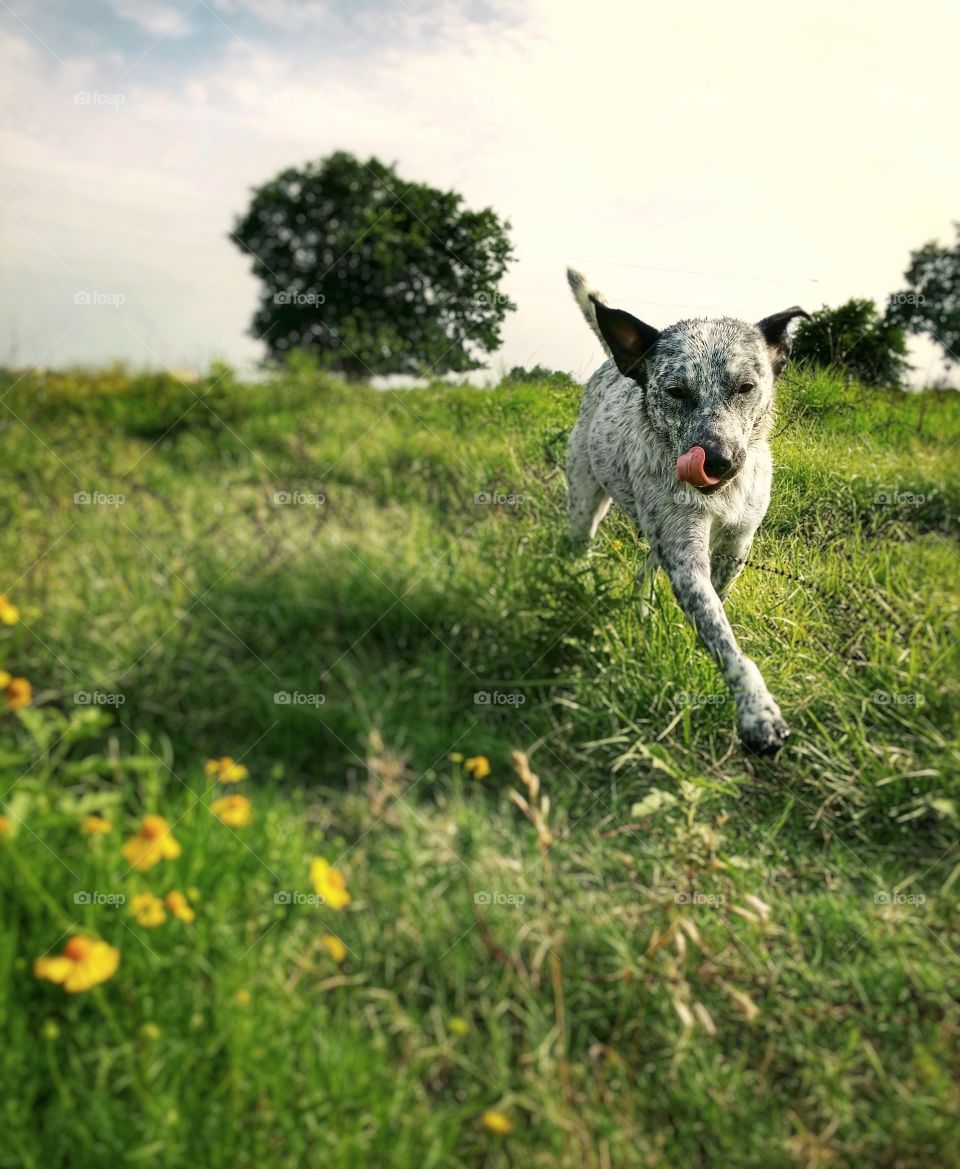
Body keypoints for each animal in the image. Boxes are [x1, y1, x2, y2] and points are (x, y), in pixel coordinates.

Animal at [565, 267, 804, 752]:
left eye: (745, 388)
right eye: (676, 392)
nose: (716, 460)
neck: (719, 498)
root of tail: (614, 366)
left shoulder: (735, 545)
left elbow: (719, 608)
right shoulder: (685, 553)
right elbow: (721, 632)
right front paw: (757, 710)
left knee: (646, 568)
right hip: (587, 505)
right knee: (583, 541)